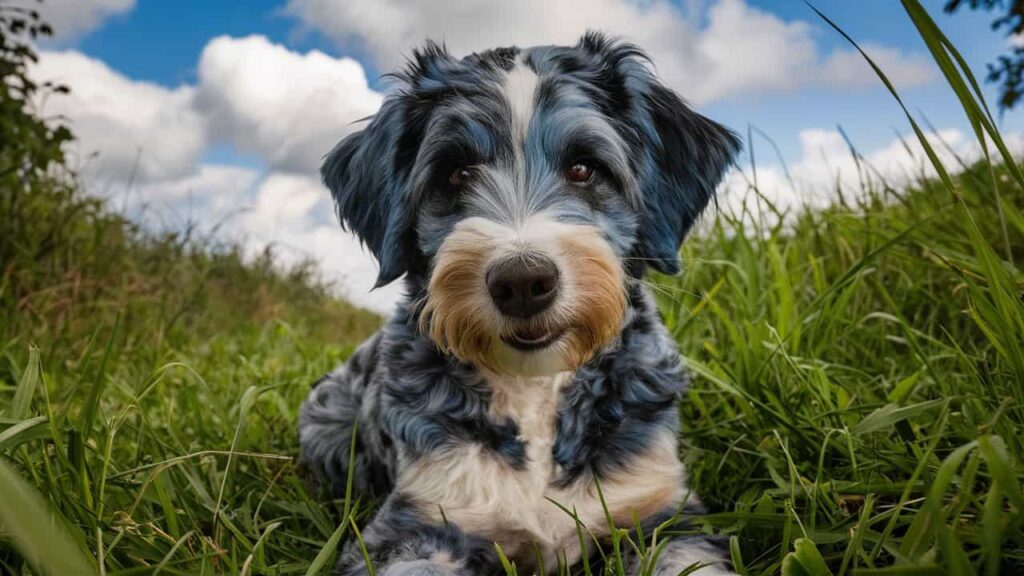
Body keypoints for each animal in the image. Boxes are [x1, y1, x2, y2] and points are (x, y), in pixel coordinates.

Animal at [299, 32, 741, 573]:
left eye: (583, 168)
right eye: (457, 173)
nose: (523, 281)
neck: (534, 389)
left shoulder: (664, 513)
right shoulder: (417, 524)